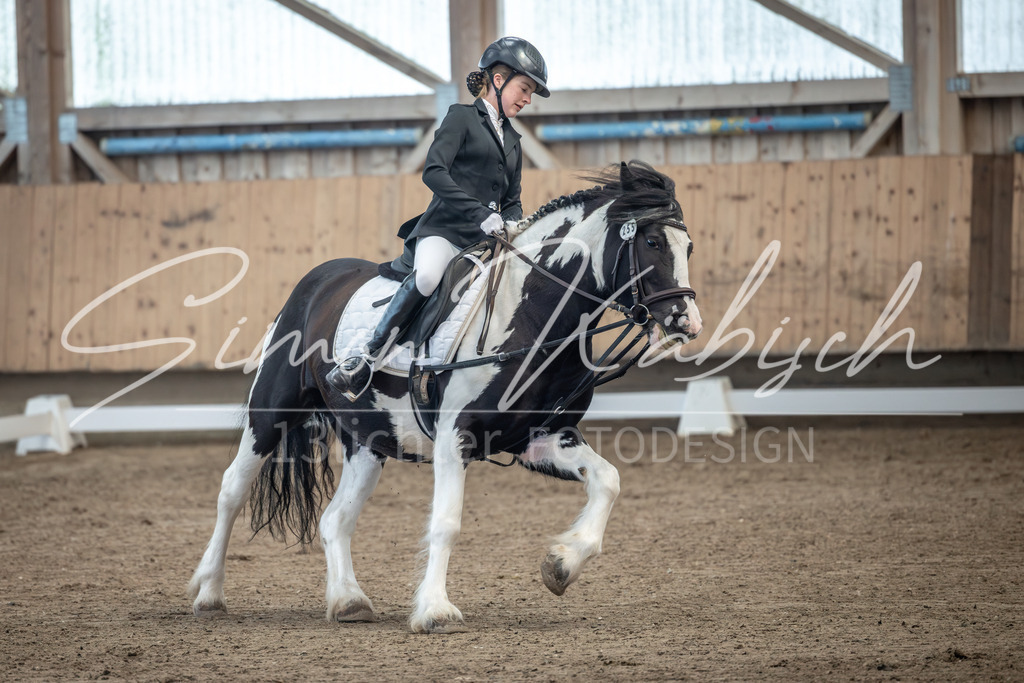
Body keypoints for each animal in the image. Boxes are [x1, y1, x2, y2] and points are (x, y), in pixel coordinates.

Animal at [188, 160, 703, 633]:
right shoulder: (456, 436)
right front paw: (436, 610)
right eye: (652, 242)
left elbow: (608, 480)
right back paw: (208, 593)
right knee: (232, 490)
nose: (686, 321)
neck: (531, 312)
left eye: (690, 246)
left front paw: (561, 564)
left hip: (369, 440)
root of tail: (318, 278)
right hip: (270, 412)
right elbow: (447, 523)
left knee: (335, 519)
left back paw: (349, 601)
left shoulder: (542, 437)